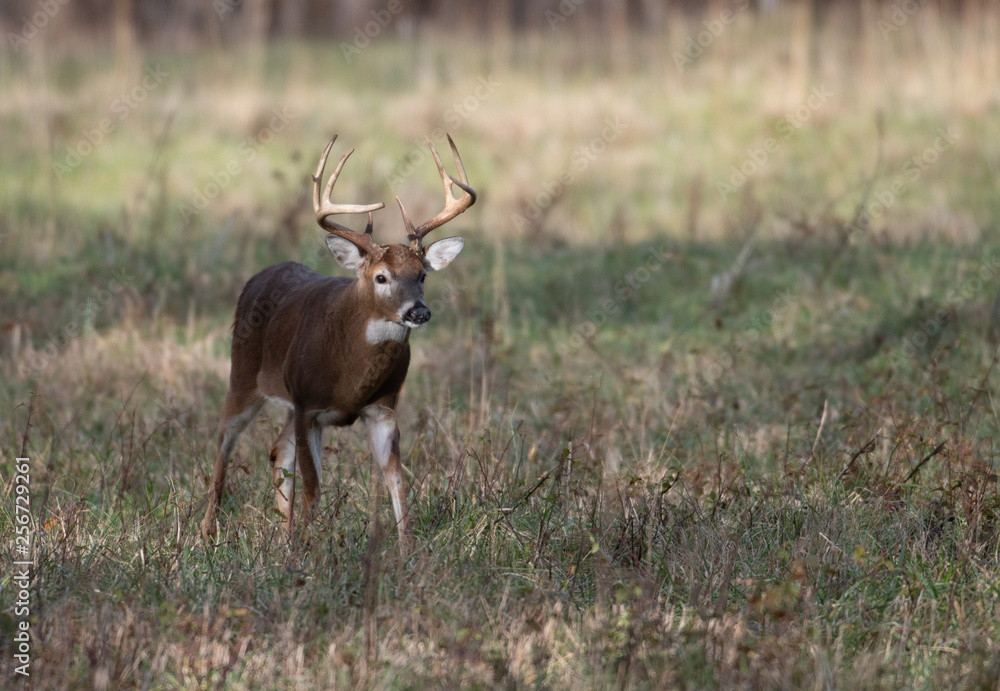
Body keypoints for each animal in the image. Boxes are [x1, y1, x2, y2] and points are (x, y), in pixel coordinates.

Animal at [200, 134, 476, 548]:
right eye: (381, 277)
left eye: (423, 275)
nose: (419, 312)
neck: (351, 376)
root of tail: (260, 276)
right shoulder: (307, 404)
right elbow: (313, 487)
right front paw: (304, 550)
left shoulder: (383, 407)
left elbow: (397, 481)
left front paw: (407, 550)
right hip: (243, 374)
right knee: (224, 441)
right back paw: (206, 531)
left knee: (277, 452)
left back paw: (282, 531)